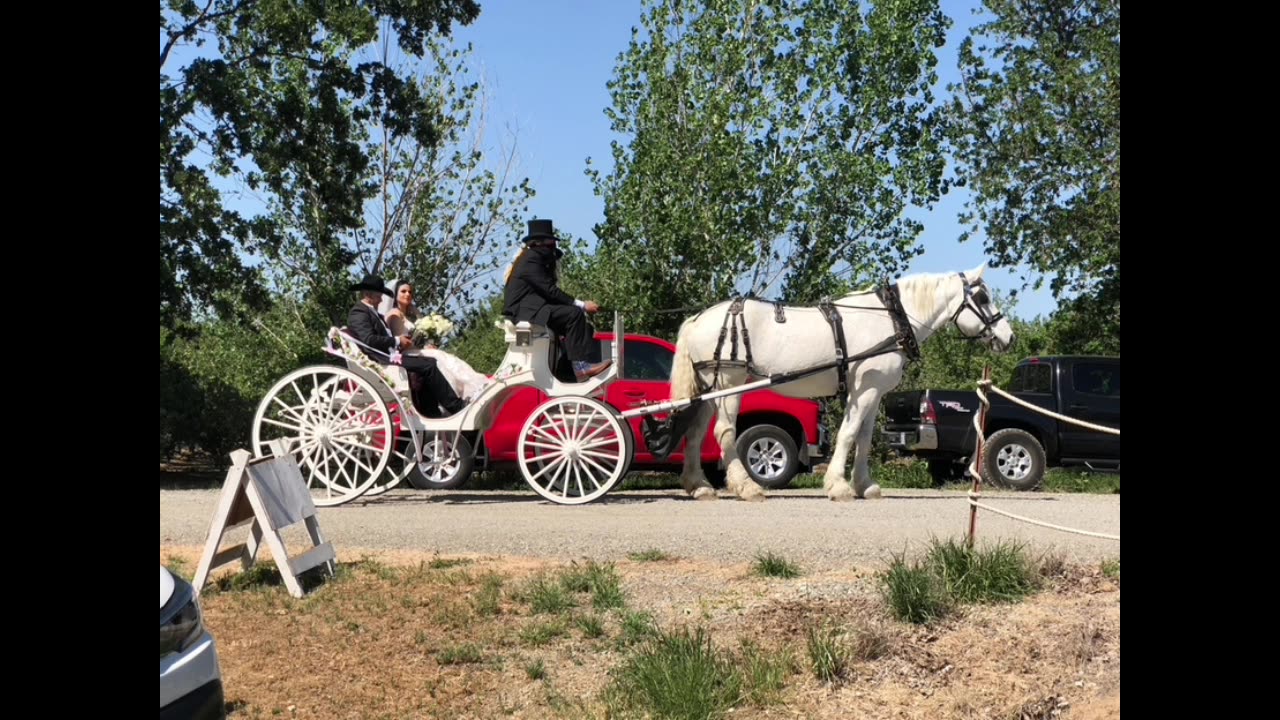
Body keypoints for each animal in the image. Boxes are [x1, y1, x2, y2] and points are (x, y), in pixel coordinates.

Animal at [665, 263, 1013, 499]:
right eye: (983, 297)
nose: (1009, 337)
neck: (891, 318)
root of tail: (697, 318)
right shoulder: (864, 389)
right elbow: (848, 434)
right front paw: (838, 485)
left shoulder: (872, 392)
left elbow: (863, 438)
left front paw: (865, 485)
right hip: (729, 382)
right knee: (723, 431)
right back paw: (747, 487)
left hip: (709, 389)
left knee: (694, 433)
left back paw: (698, 486)